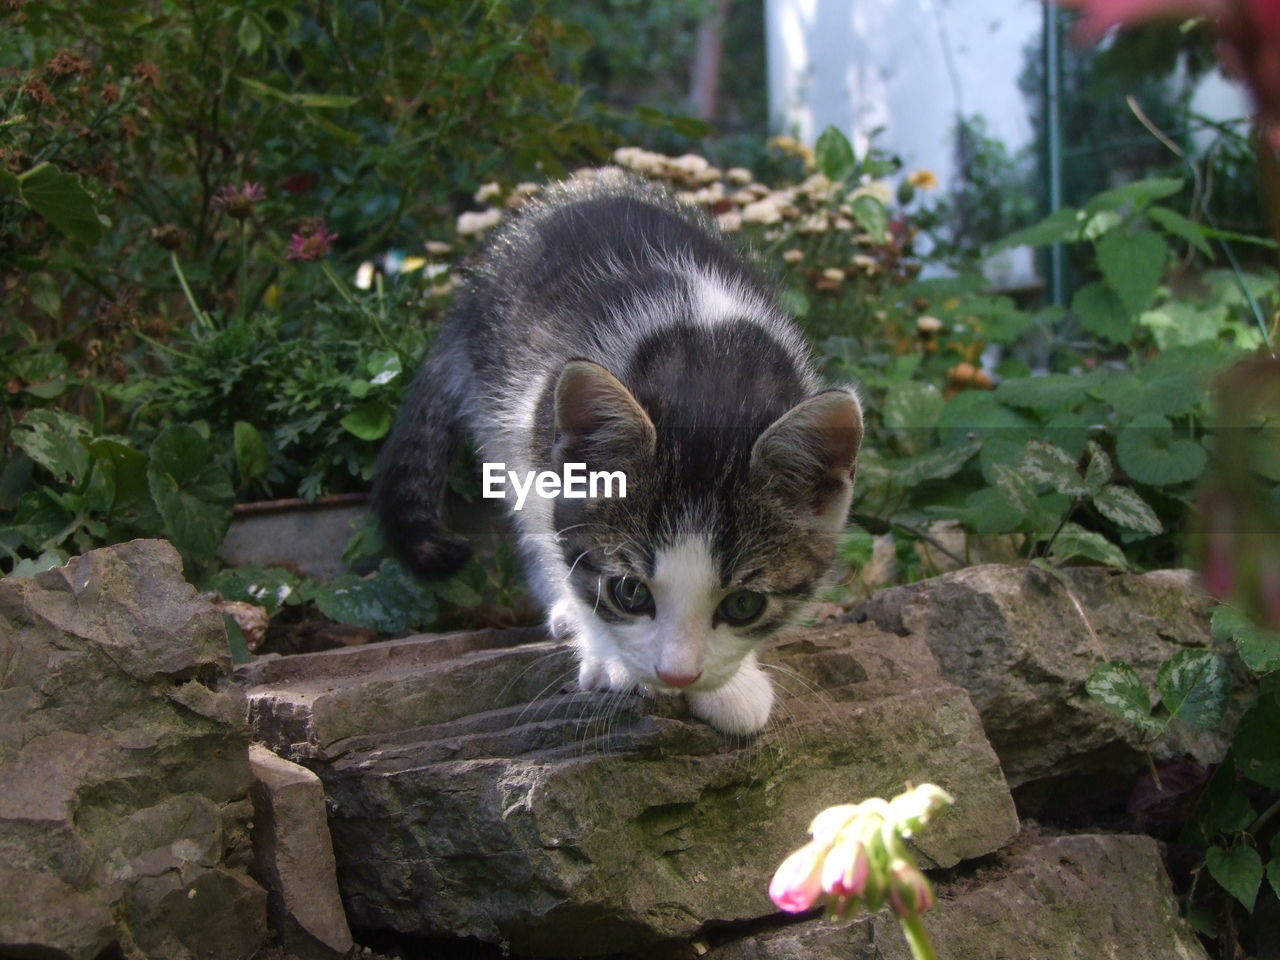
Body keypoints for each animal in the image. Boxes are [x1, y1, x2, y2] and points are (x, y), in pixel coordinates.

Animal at [373, 171, 865, 737]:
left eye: (744, 604)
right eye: (630, 592)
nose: (677, 675)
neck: (710, 370)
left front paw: (734, 684)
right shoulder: (538, 431)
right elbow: (559, 542)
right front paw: (609, 652)